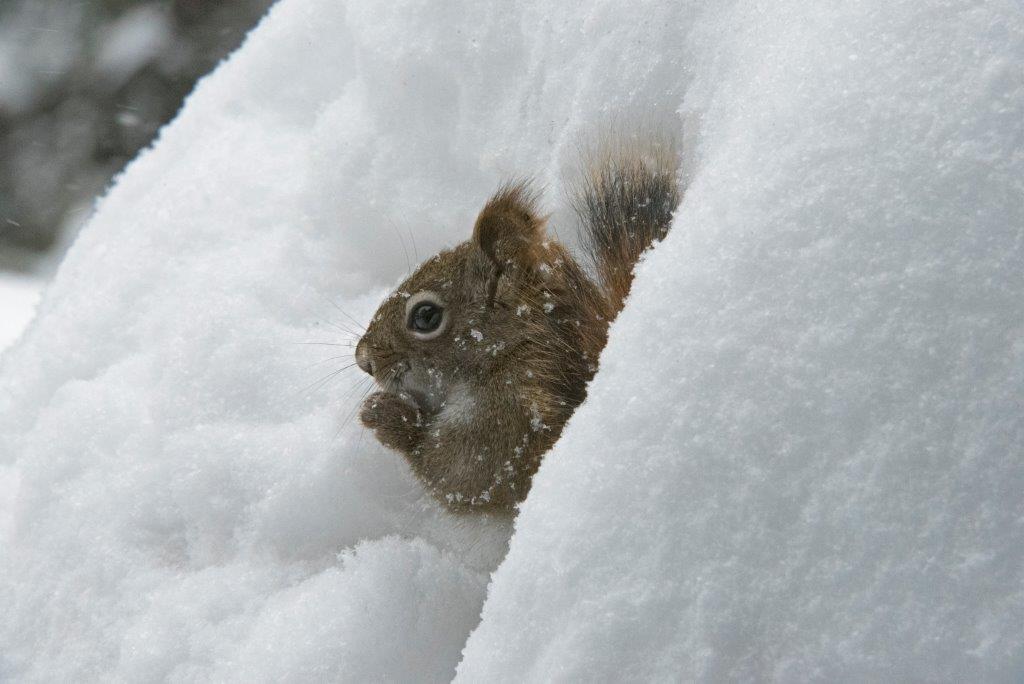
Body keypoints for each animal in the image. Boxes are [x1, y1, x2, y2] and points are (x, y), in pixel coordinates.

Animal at [355, 146, 679, 513]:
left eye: (425, 316)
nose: (363, 360)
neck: (511, 347)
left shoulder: (513, 413)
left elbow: (460, 472)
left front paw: (384, 415)